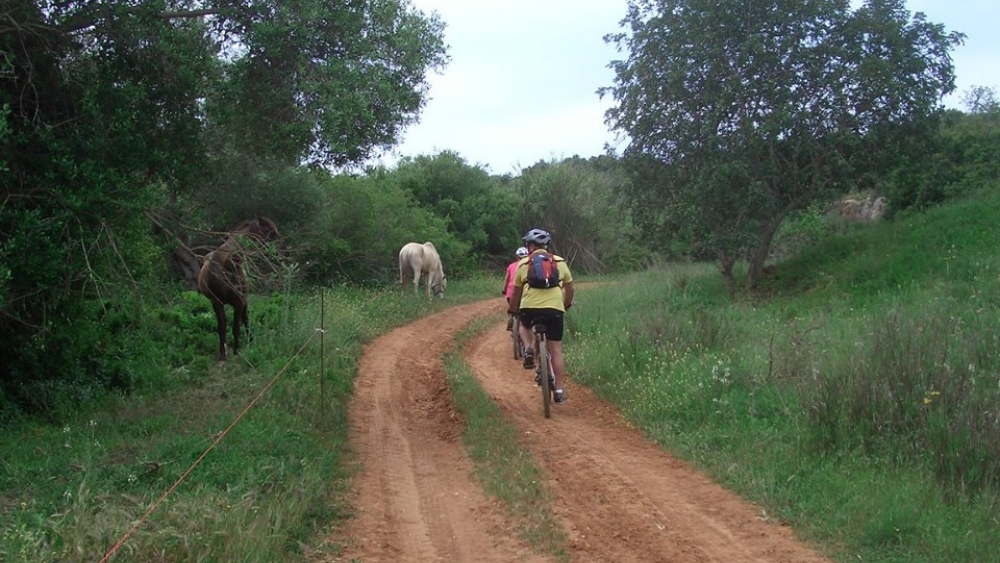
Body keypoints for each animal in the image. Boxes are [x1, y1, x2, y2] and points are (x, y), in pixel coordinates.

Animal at [197, 216, 282, 362]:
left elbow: (236, 327)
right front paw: (222, 354)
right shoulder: (217, 303)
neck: (227, 264)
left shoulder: (239, 302)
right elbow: (222, 327)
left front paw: (236, 351)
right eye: (267, 230)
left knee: (245, 319)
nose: (280, 247)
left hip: (244, 300)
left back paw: (250, 342)